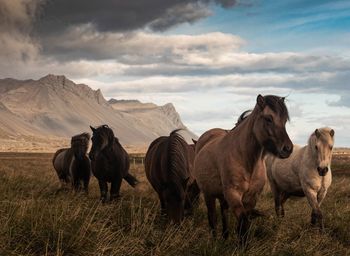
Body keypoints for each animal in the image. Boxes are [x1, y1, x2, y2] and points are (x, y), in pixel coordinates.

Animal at [193, 95, 294, 243]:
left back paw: (225, 238)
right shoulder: (233, 194)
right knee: (212, 217)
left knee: (224, 213)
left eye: (285, 120)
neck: (246, 160)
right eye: (268, 119)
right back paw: (215, 241)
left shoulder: (251, 197)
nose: (287, 149)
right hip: (208, 194)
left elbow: (244, 223)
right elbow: (243, 223)